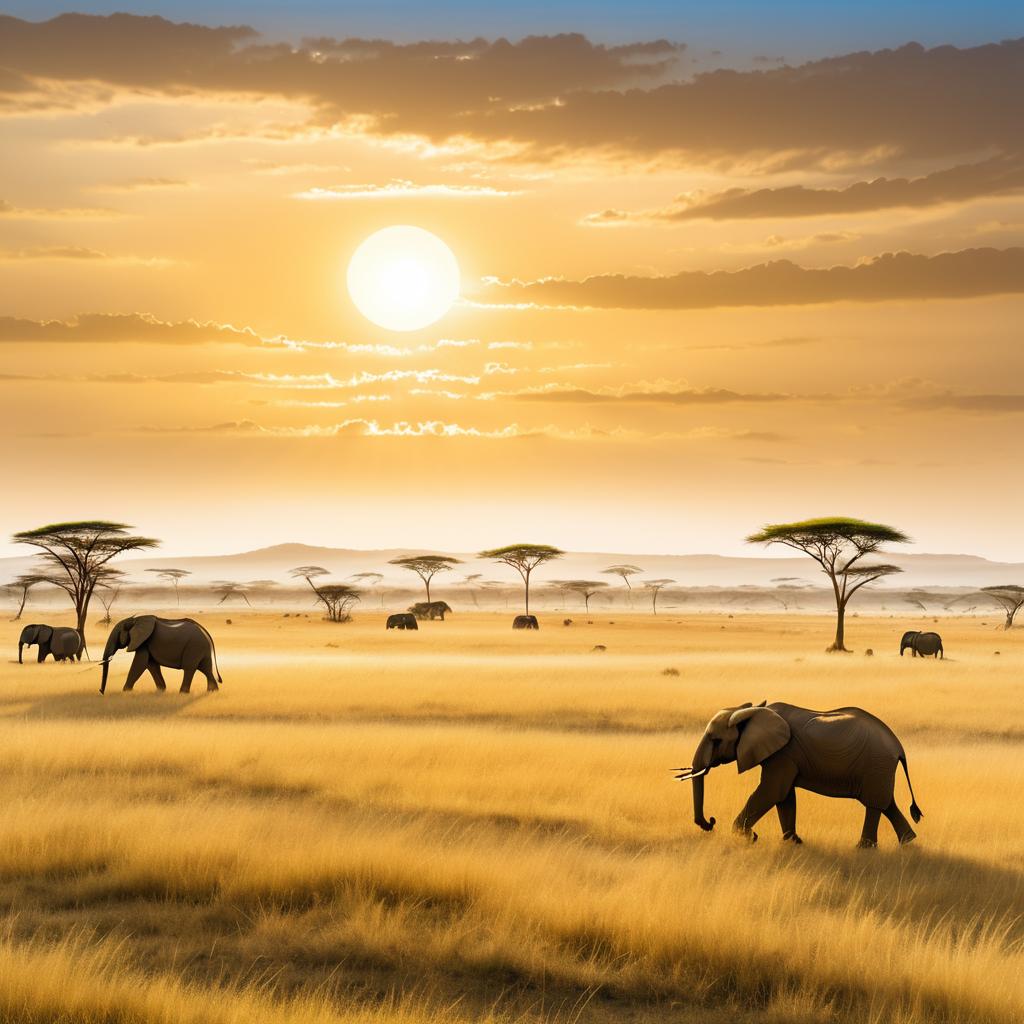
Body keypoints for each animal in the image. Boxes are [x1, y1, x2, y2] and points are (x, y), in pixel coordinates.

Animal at [675, 700, 925, 851]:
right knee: (887, 804)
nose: (711, 821)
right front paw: (793, 843)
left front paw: (746, 837)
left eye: (716, 740)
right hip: (878, 769)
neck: (752, 711)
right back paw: (907, 842)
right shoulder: (784, 756)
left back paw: (864, 848)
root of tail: (898, 746)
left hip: (876, 764)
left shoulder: (783, 753)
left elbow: (772, 791)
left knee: (874, 804)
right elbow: (785, 796)